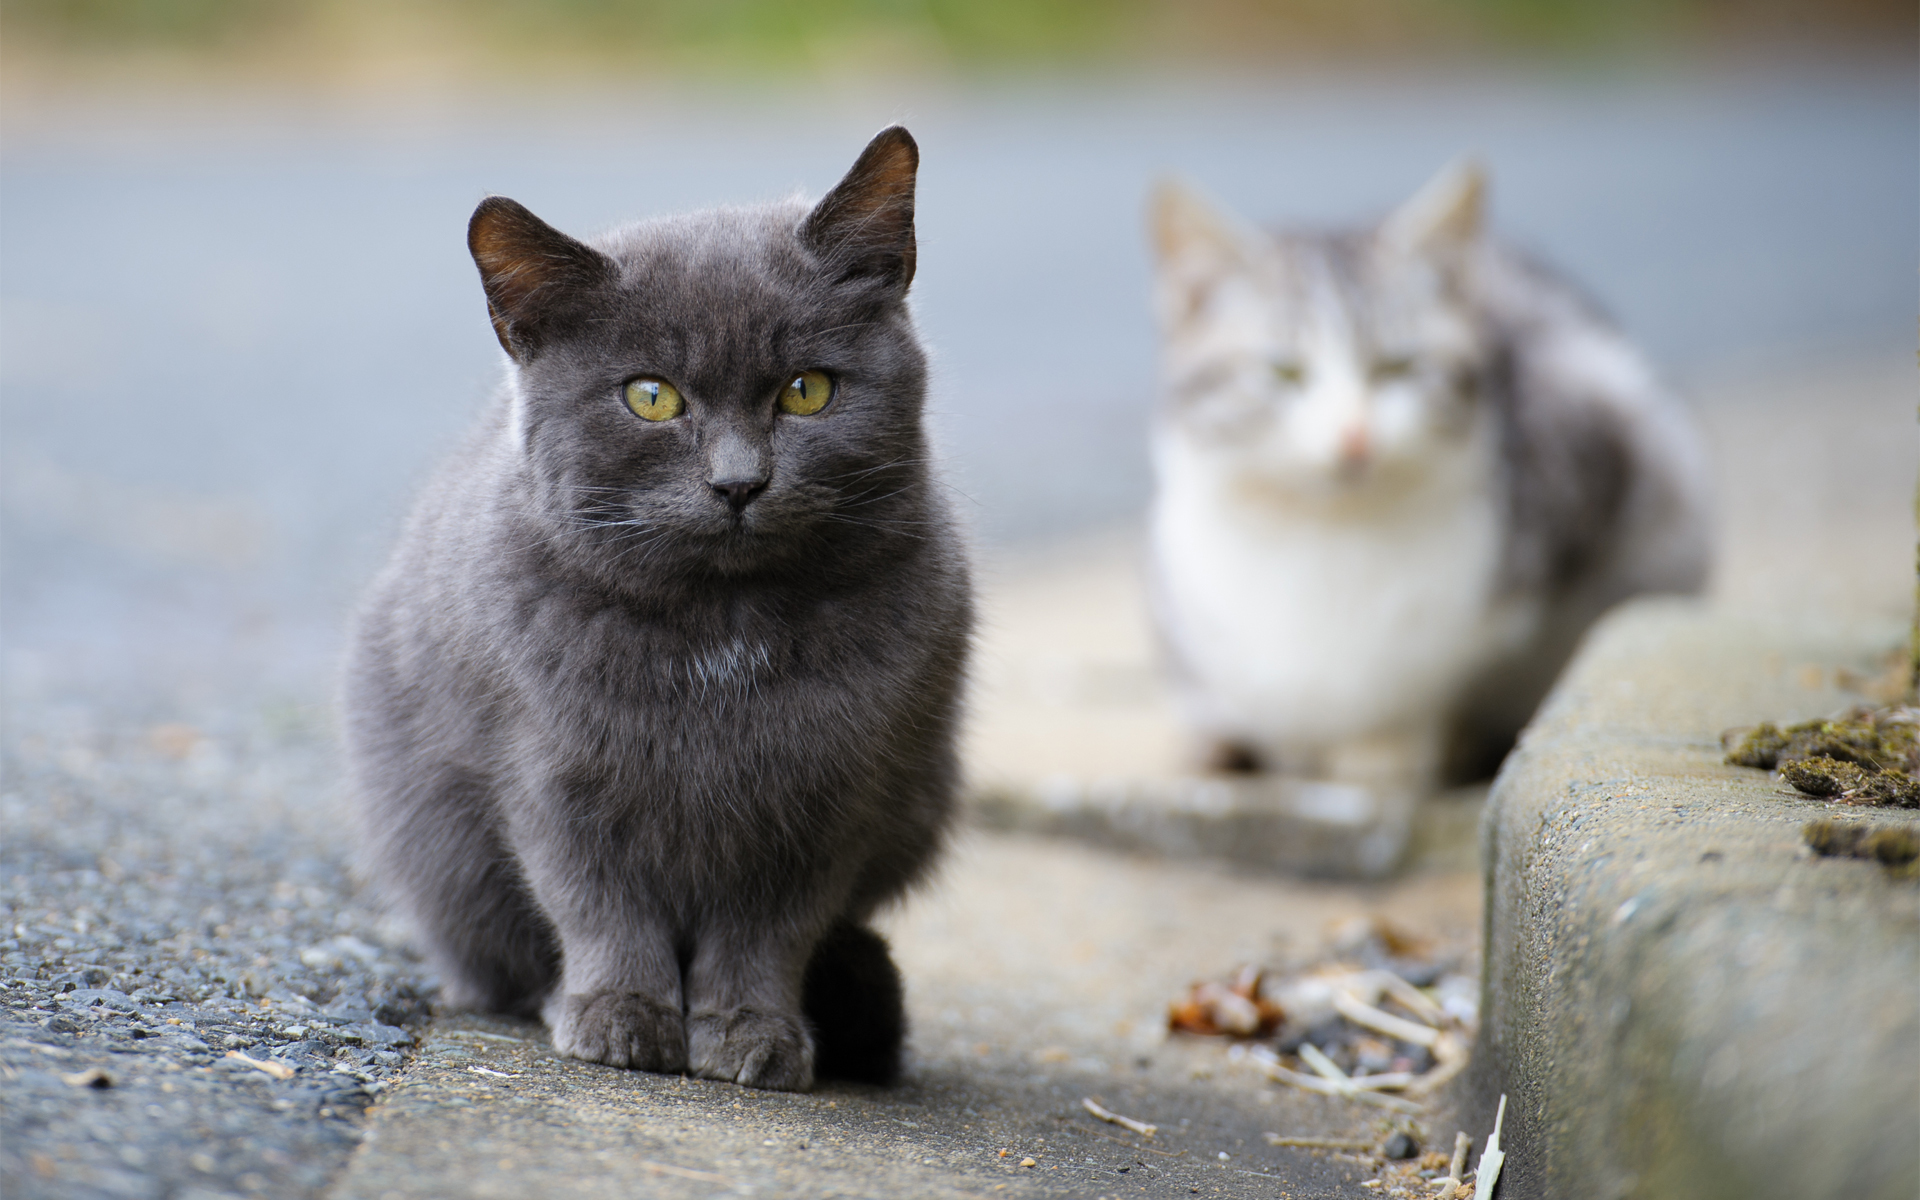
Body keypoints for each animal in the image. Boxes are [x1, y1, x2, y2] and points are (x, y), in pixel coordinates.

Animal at [343, 126, 967, 1090]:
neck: (724, 626)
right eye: (651, 397)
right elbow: (596, 904)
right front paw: (621, 1013)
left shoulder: (829, 800)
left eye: (807, 390)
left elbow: (770, 931)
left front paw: (752, 1029)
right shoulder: (551, 775)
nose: (740, 482)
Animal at [1136, 161, 1712, 794]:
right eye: (1283, 371)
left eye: (1399, 366)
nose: (1354, 436)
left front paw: (1396, 750)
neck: (1330, 538)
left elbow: (1444, 682)